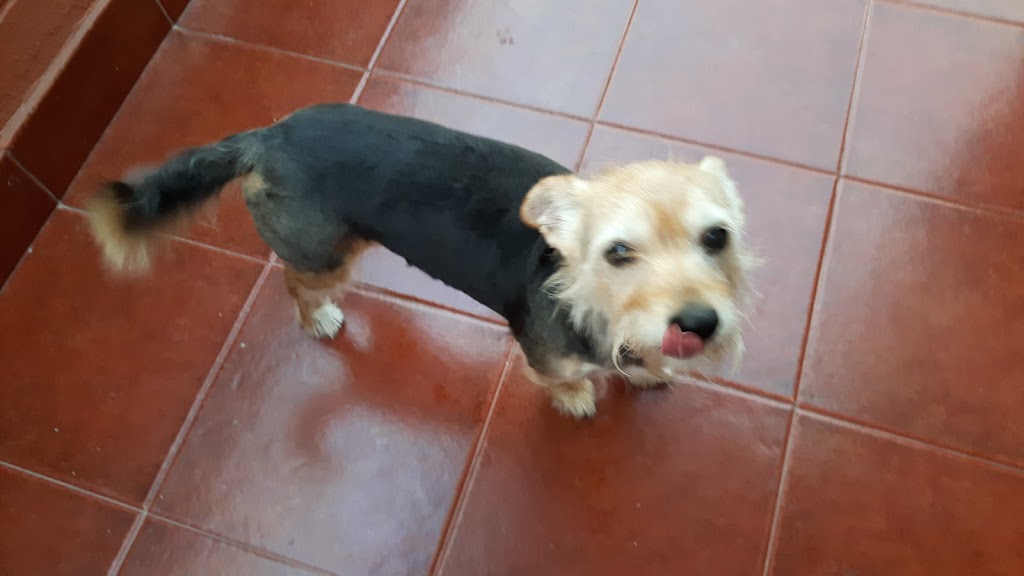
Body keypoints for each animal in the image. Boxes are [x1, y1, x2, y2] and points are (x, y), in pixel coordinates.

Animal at [87, 103, 753, 418]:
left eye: (717, 237)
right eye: (618, 253)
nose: (699, 324)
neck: (583, 297)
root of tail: (266, 137)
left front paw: (645, 368)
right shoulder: (546, 355)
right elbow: (561, 380)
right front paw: (575, 399)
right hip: (323, 254)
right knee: (293, 280)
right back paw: (316, 317)